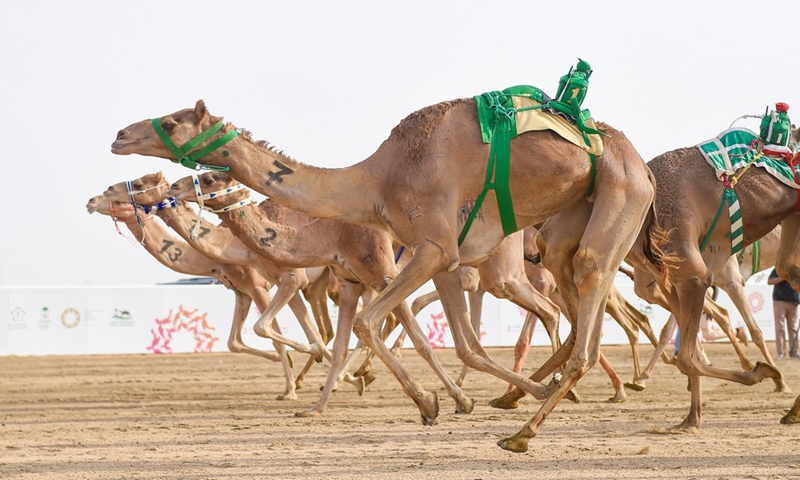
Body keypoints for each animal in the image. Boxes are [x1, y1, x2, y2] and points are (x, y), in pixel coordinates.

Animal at [84, 193, 298, 400]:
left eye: (118, 199)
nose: (91, 202)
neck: (214, 258)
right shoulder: (241, 291)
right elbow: (233, 342)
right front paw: (284, 362)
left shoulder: (258, 287)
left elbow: (272, 337)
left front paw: (289, 390)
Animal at [112, 96, 668, 450]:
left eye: (175, 120)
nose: (119, 134)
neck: (377, 180)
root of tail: (642, 163)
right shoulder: (443, 257)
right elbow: (462, 343)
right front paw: (450, 400)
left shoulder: (431, 248)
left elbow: (373, 323)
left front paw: (429, 401)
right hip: (568, 219)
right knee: (569, 289)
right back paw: (545, 394)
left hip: (618, 192)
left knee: (588, 290)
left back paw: (527, 429)